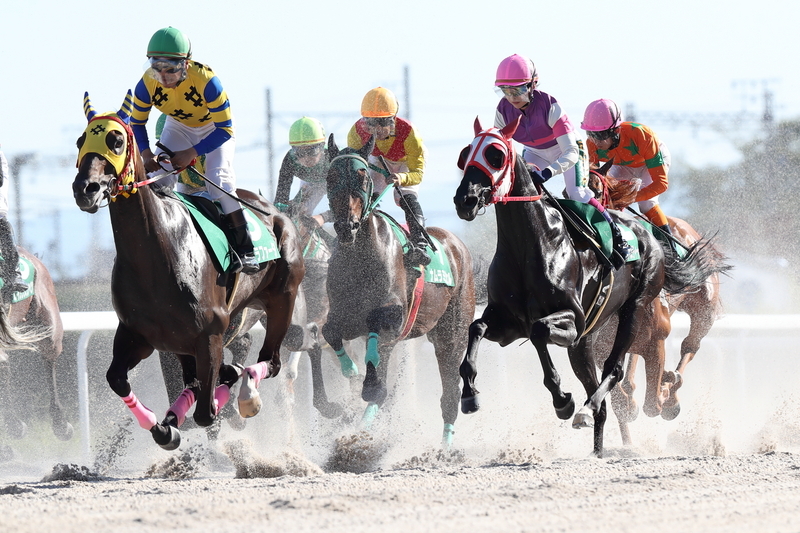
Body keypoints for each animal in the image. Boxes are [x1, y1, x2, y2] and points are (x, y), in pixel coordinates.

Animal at [72, 92, 304, 450]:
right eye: (81, 141)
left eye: (116, 140)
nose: (86, 189)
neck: (156, 256)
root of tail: (276, 213)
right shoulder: (140, 334)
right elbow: (117, 379)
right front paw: (163, 427)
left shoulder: (209, 335)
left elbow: (207, 412)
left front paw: (226, 394)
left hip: (282, 299)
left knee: (272, 362)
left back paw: (247, 392)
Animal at [321, 134, 476, 446]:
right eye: (331, 177)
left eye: (363, 176)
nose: (346, 227)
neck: (361, 256)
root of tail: (456, 245)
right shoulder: (345, 316)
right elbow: (329, 331)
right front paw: (350, 369)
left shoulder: (390, 320)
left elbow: (376, 374)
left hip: (451, 335)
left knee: (450, 392)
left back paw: (445, 446)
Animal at [452, 117, 727, 456]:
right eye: (466, 154)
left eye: (496, 155)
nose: (465, 200)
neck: (532, 246)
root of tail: (650, 239)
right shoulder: (508, 324)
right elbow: (476, 328)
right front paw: (469, 395)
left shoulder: (574, 320)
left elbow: (539, 331)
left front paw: (562, 400)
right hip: (585, 345)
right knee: (606, 400)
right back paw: (597, 446)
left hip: (638, 310)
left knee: (626, 367)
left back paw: (589, 408)